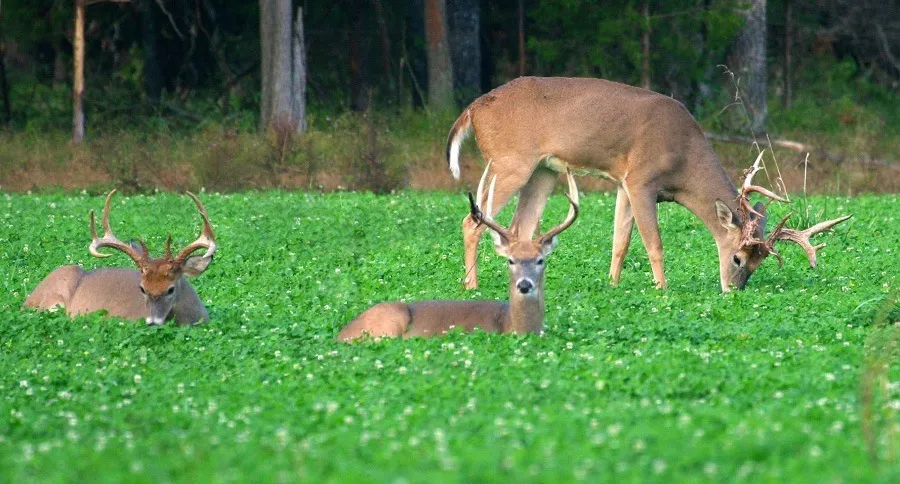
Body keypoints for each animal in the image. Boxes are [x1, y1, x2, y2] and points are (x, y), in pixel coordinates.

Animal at [337, 164, 579, 341]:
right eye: (510, 260)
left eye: (540, 260)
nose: (524, 285)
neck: (510, 325)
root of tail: (340, 335)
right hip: (389, 323)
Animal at [446, 76, 851, 292]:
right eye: (737, 256)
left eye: (760, 261)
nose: (734, 289)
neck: (683, 158)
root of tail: (472, 109)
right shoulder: (642, 180)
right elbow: (653, 243)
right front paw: (662, 289)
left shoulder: (624, 183)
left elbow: (620, 242)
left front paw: (612, 284)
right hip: (510, 161)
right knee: (472, 220)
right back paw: (471, 285)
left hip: (543, 171)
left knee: (520, 227)